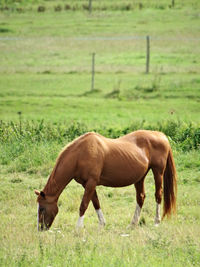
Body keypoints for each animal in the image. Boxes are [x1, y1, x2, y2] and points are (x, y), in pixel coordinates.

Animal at [34, 131, 177, 231]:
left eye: (42, 208)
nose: (41, 228)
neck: (80, 154)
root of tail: (161, 135)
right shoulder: (87, 184)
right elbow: (95, 203)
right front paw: (102, 224)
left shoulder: (91, 183)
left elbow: (83, 205)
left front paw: (78, 228)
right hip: (140, 177)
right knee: (140, 197)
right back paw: (132, 224)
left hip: (158, 172)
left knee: (158, 195)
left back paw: (157, 221)